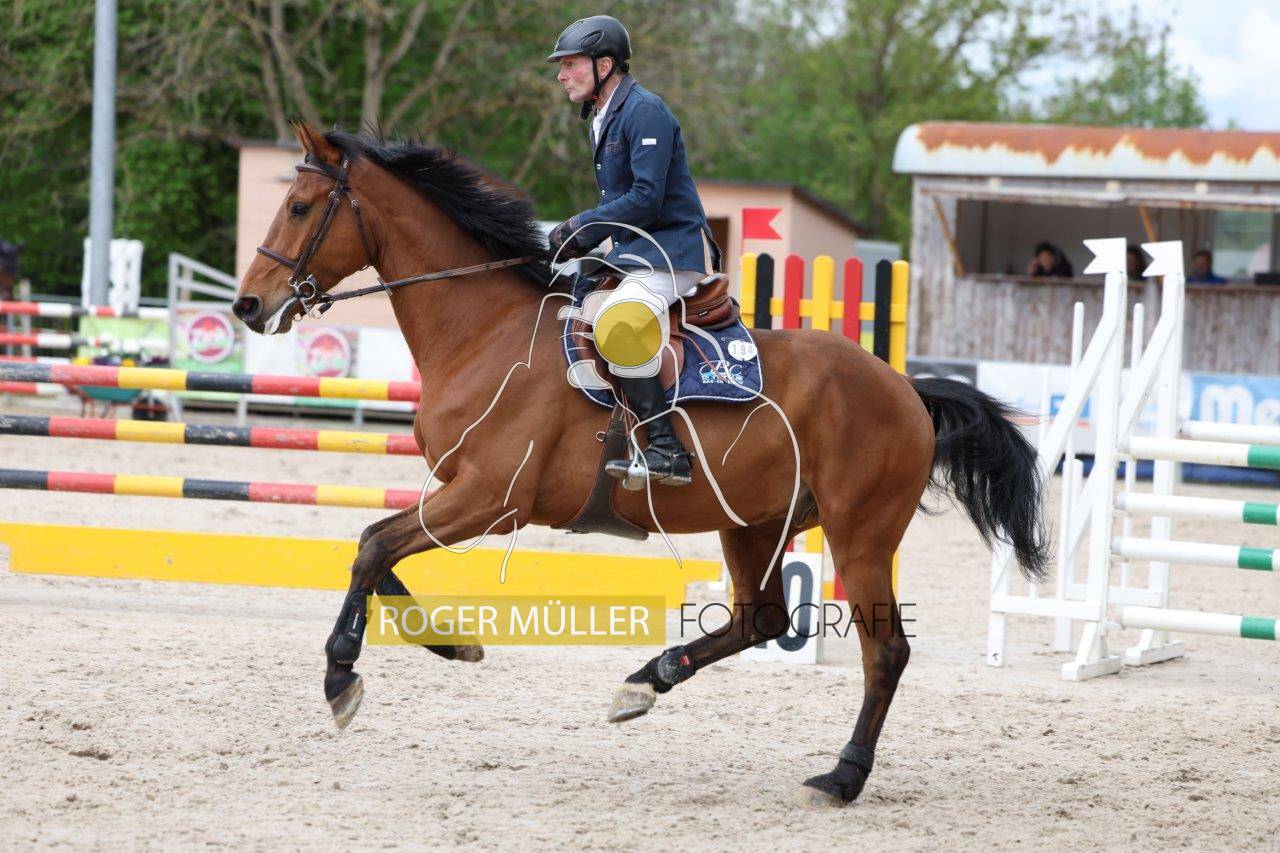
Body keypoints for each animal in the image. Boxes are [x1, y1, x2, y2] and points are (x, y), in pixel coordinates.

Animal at [232, 121, 1049, 806]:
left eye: (299, 208)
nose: (248, 306)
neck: (482, 328)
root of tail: (905, 387)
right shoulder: (461, 495)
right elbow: (379, 549)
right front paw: (452, 641)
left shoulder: (491, 499)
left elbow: (373, 546)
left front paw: (341, 675)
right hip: (753, 523)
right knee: (760, 617)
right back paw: (645, 682)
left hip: (860, 535)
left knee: (884, 653)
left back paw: (843, 775)